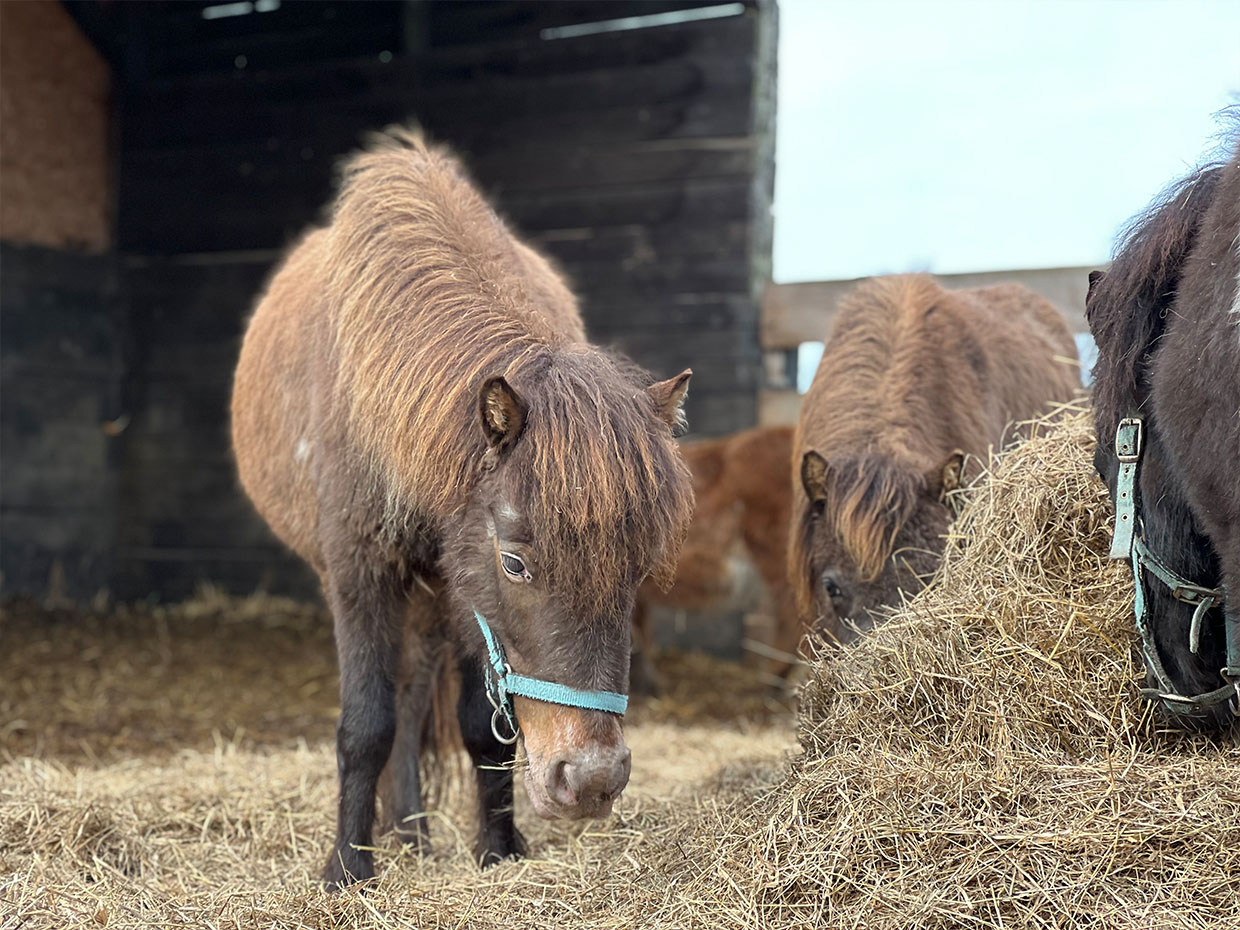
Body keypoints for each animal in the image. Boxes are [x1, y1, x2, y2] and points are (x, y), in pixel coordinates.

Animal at [230, 131, 699, 887]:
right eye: (516, 563)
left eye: (640, 567)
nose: (592, 780)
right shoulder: (359, 572)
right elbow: (365, 724)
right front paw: (347, 870)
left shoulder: (460, 593)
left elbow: (480, 727)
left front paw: (498, 849)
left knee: (415, 691)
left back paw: (413, 831)